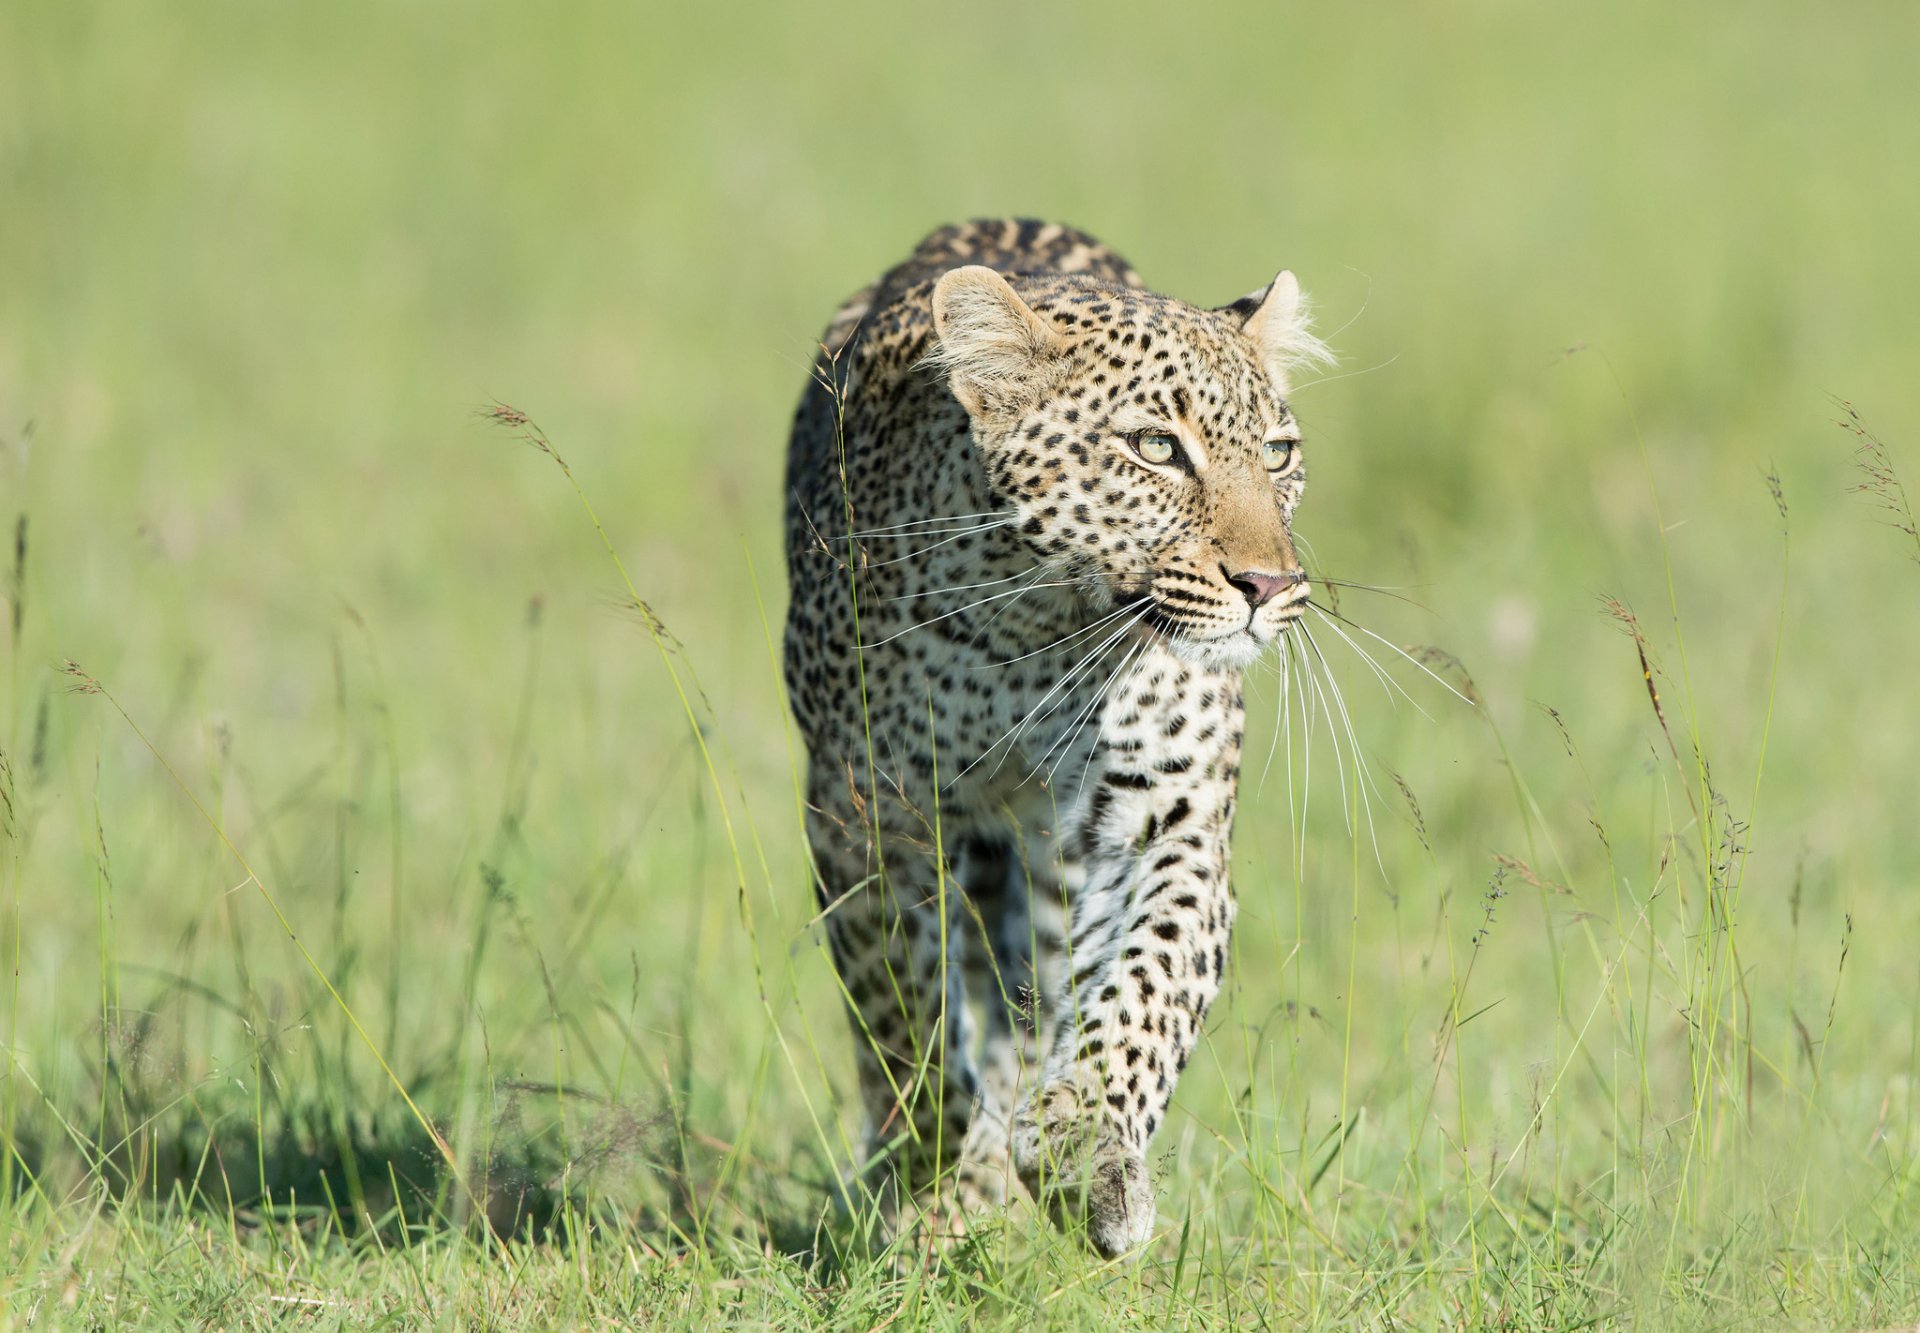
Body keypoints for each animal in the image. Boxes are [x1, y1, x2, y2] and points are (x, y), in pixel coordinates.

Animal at [782, 218, 1329, 1257]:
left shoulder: (1173, 819)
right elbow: (905, 1009)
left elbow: (1149, 991)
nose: (1271, 585)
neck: (1040, 627)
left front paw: (1088, 1159)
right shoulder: (869, 812)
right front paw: (939, 1175)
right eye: (1157, 447)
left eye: (1278, 454)